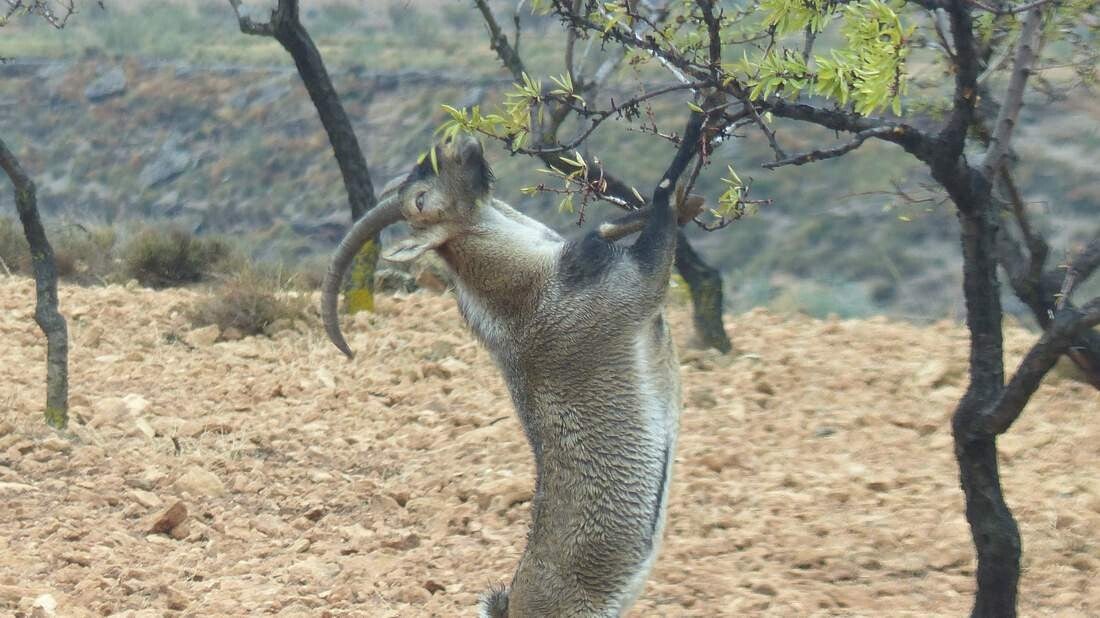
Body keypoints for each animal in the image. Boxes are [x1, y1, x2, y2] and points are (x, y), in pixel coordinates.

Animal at [322, 133, 697, 617]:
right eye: (420, 199)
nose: (453, 141)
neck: (531, 286)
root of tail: (513, 604)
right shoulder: (632, 290)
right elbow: (663, 199)